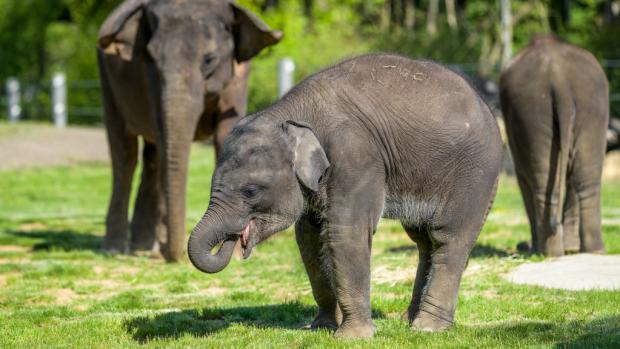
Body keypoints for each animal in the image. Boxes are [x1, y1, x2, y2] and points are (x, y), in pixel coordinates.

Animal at [96, 0, 280, 260]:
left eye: (209, 59)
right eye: (152, 58)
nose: (174, 255)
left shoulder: (240, 74)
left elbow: (225, 133)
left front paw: (234, 255)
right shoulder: (150, 78)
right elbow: (164, 137)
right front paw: (163, 249)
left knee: (151, 157)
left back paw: (143, 246)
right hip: (107, 79)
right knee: (125, 154)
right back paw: (116, 249)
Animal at [186, 55, 502, 338]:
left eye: (250, 191)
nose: (233, 239)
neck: (291, 116)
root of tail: (487, 107)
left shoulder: (355, 157)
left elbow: (346, 233)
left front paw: (353, 337)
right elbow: (309, 239)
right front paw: (320, 327)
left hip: (475, 175)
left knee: (448, 239)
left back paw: (428, 328)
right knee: (424, 241)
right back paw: (409, 320)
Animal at [502, 36, 608, 256]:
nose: (520, 245)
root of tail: (559, 81)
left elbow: (523, 178)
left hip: (532, 111)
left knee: (543, 185)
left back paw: (548, 252)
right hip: (588, 109)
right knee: (586, 180)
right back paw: (591, 251)